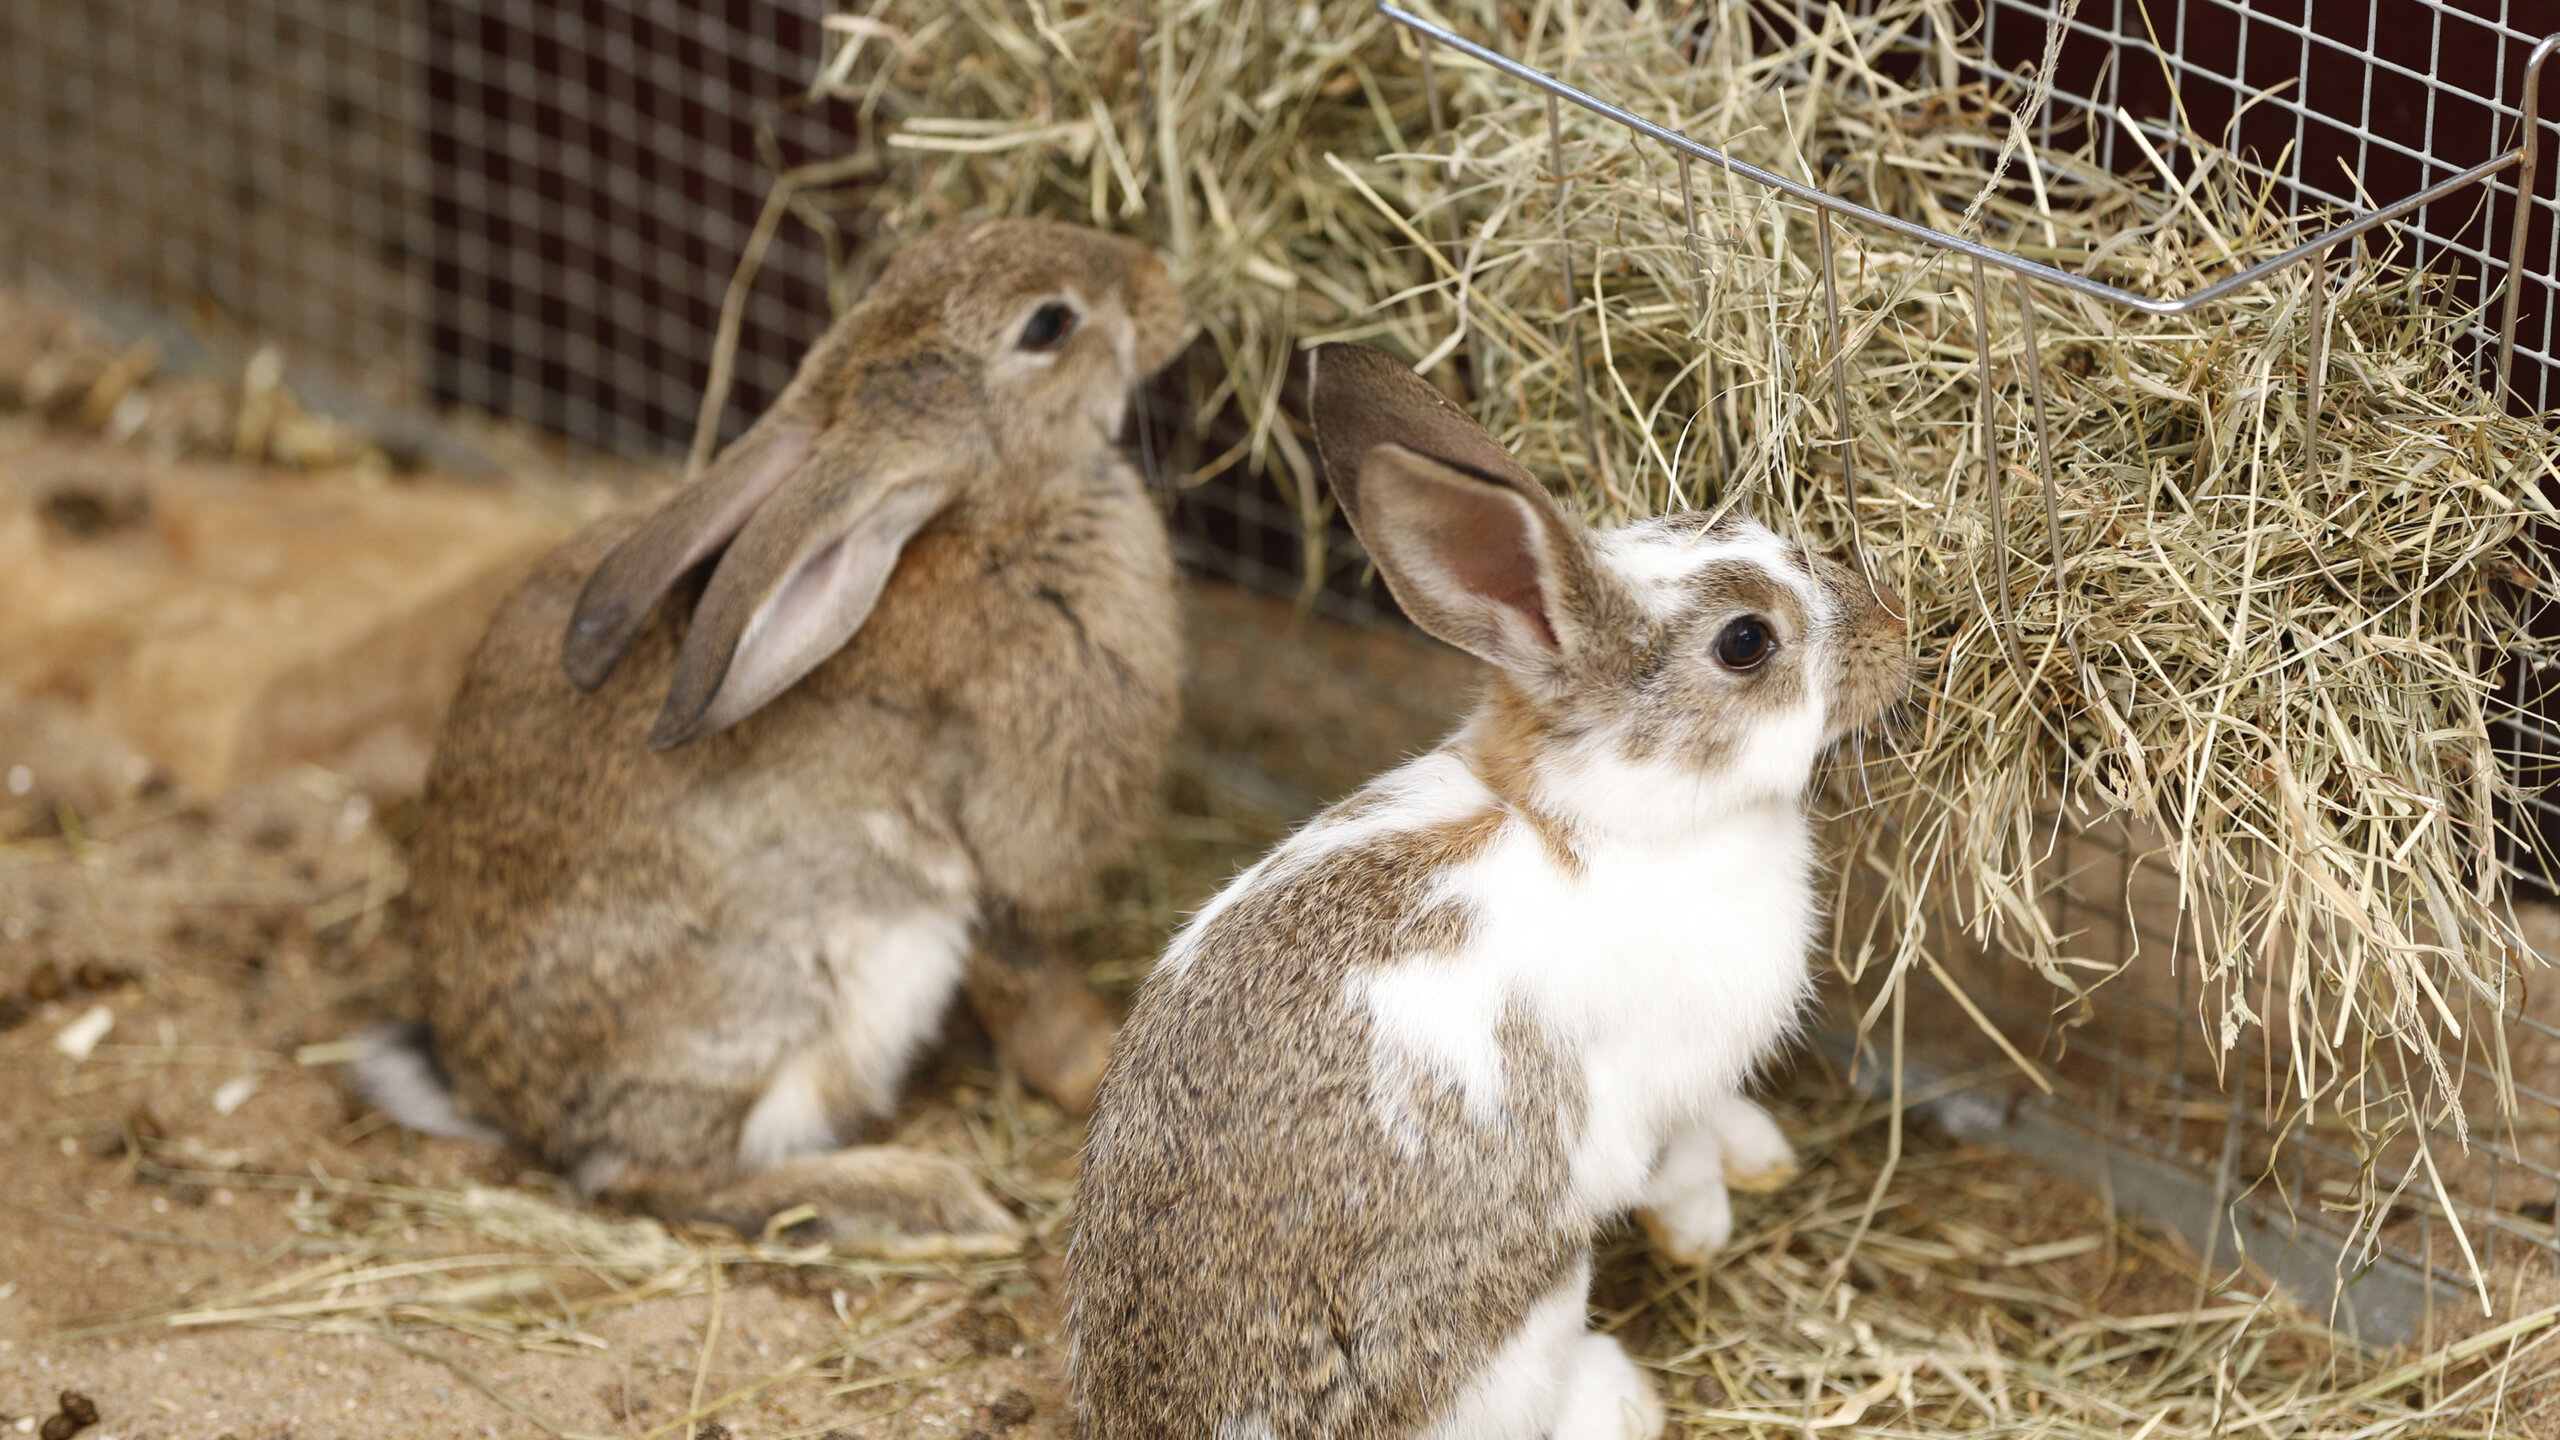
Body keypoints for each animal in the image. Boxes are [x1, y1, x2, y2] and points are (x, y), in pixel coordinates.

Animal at [357, 218, 1188, 1259]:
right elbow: (1033, 986)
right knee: (649, 1180)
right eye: (1049, 325)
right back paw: (923, 1197)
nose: (1164, 283)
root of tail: (497, 1099)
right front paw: (1090, 1076)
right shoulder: (1008, 848)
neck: (988, 524)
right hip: (762, 1001)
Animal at [1065, 343, 1910, 1438]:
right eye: (1745, 642)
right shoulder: (1649, 1088)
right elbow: (1673, 1159)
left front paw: (1757, 1156)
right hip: (1525, 1316)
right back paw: (1622, 1395)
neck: (1605, 818)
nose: (1897, 633)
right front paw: (1702, 1231)